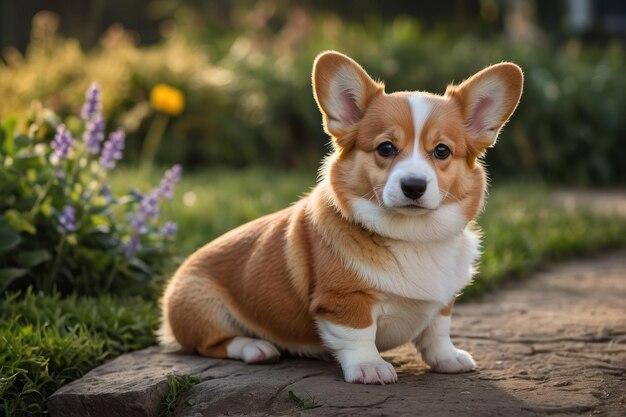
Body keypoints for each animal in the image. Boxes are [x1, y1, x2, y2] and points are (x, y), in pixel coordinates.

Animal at [157, 51, 520, 384]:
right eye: (386, 148)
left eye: (442, 151)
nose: (414, 186)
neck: (413, 235)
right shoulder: (344, 301)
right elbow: (358, 335)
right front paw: (369, 367)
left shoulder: (442, 302)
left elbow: (437, 330)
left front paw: (448, 359)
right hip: (203, 307)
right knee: (212, 344)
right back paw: (255, 348)